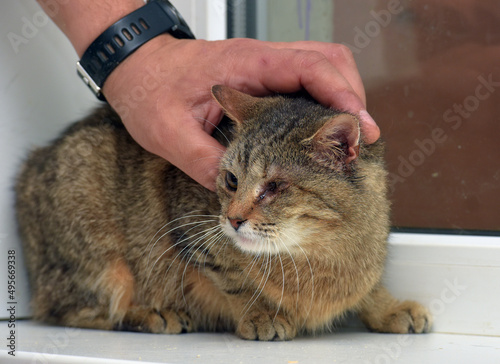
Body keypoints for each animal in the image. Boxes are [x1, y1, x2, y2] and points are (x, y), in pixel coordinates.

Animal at [14, 86, 430, 342]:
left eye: (274, 186)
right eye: (231, 180)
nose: (233, 218)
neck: (316, 257)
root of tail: (29, 170)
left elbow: (369, 286)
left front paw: (389, 306)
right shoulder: (189, 223)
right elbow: (234, 279)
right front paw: (260, 314)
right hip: (101, 259)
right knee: (76, 311)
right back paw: (152, 314)